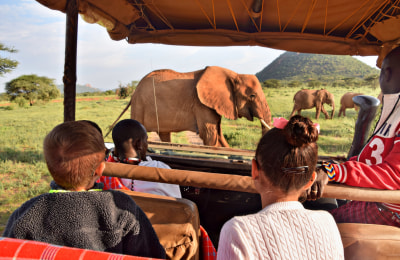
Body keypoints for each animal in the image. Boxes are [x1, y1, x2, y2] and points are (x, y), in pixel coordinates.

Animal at [112, 65, 272, 146]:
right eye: (252, 96)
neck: (234, 74)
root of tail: (134, 92)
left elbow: (218, 134)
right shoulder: (201, 104)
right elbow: (210, 134)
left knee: (164, 134)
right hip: (140, 105)